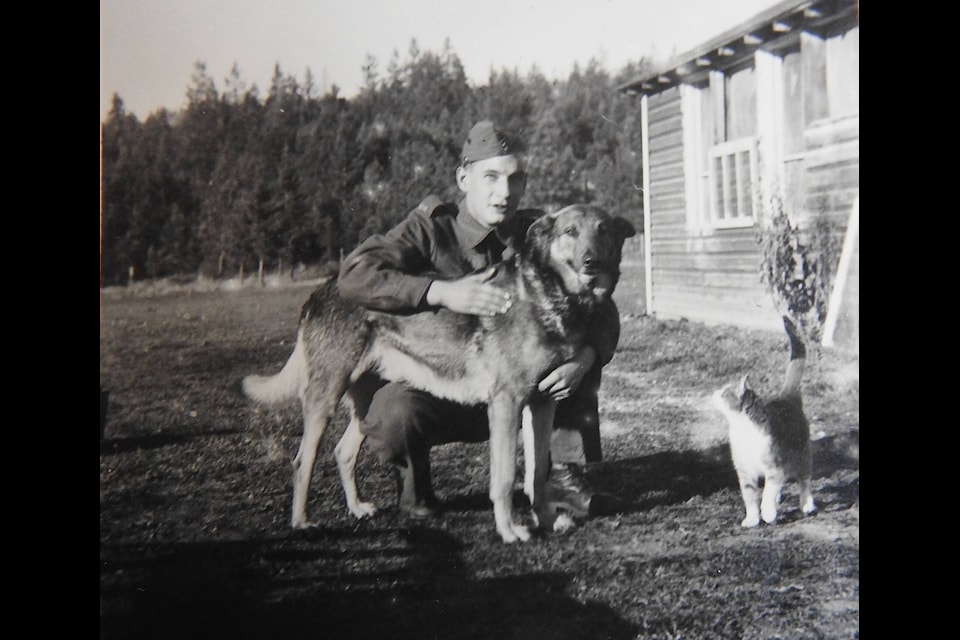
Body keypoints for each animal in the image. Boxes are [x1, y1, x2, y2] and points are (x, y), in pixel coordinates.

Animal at [246, 205, 636, 544]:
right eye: (570, 232)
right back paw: (302, 521)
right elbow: (504, 478)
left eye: (602, 230)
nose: (592, 262)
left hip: (363, 403)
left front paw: (547, 519)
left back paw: (357, 508)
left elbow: (537, 474)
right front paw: (509, 530)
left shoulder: (542, 403)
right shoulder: (506, 405)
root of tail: (321, 291)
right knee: (303, 460)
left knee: (343, 452)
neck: (549, 295)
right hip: (325, 397)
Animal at [712, 316, 816, 528]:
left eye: (724, 392)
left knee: (804, 481)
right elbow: (750, 497)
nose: (713, 393)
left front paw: (767, 512)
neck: (742, 429)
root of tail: (786, 397)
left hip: (802, 456)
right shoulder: (744, 471)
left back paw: (806, 504)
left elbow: (767, 493)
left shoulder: (774, 468)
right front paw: (752, 519)